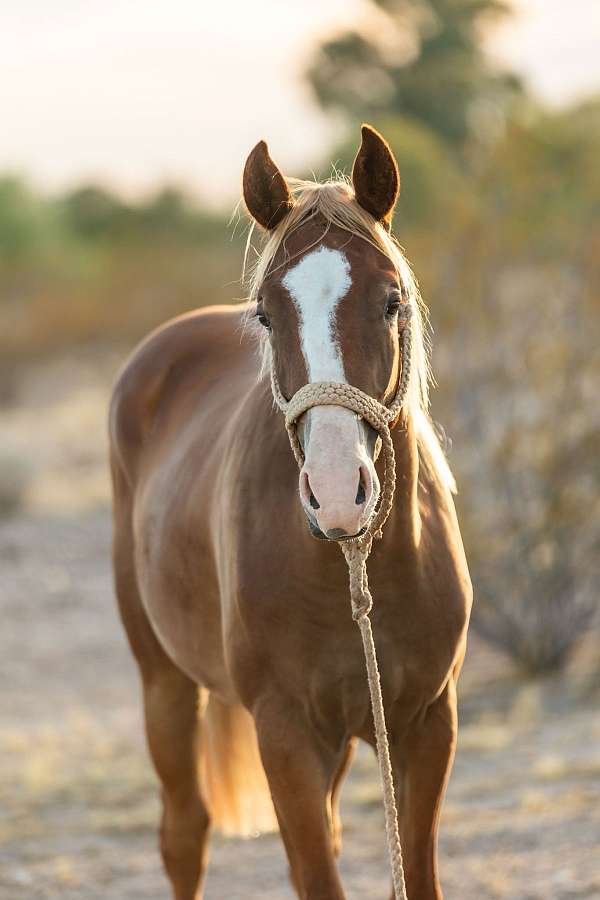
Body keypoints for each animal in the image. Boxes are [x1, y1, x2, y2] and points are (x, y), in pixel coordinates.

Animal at [110, 121, 472, 900]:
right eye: (268, 314)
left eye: (391, 301)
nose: (336, 491)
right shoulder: (286, 734)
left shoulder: (426, 726)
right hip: (164, 683)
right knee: (183, 836)